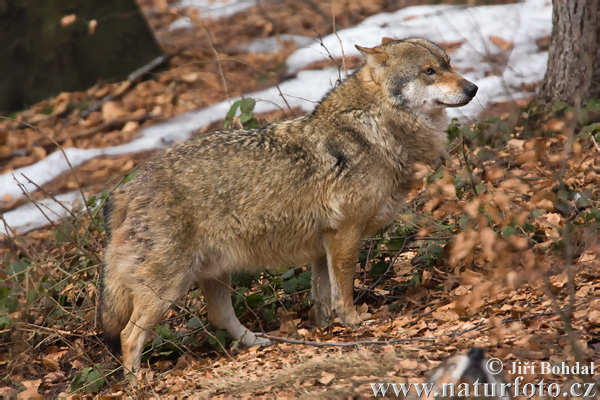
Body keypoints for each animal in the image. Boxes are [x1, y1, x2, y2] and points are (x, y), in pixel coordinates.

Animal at [98, 37, 478, 372]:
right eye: (429, 71)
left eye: (448, 64)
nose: (473, 88)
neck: (375, 132)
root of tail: (125, 190)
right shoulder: (345, 235)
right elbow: (343, 292)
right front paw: (354, 324)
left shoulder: (322, 247)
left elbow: (321, 297)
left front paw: (324, 330)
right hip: (168, 288)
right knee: (129, 336)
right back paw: (138, 383)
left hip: (214, 274)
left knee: (219, 317)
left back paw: (260, 343)